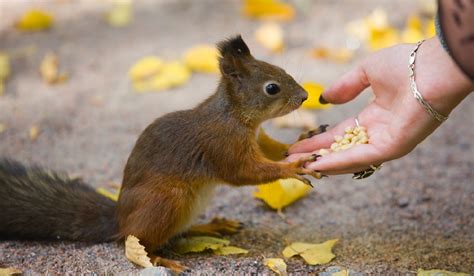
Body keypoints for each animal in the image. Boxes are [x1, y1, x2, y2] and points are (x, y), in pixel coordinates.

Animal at [0, 35, 326, 272]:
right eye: (272, 88)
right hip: (167, 200)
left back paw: (213, 225)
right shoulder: (222, 146)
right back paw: (162, 259)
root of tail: (119, 220)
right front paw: (294, 167)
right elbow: (245, 173)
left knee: (177, 233)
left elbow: (273, 149)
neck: (236, 117)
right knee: (141, 243)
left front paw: (302, 140)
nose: (304, 96)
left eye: (283, 71)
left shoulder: (256, 138)